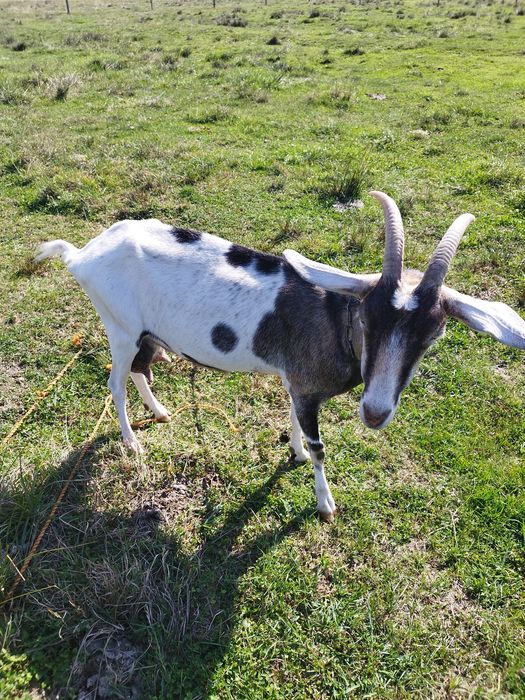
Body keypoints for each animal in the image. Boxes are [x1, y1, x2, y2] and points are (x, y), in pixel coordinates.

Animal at [35, 191, 525, 521]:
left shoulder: (295, 381)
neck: (335, 321)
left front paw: (295, 452)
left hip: (148, 333)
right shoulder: (308, 389)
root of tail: (81, 255)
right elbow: (320, 445)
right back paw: (132, 442)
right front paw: (324, 501)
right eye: (368, 318)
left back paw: (160, 412)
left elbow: (293, 419)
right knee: (115, 382)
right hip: (120, 328)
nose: (374, 412)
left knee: (141, 369)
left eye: (433, 333)